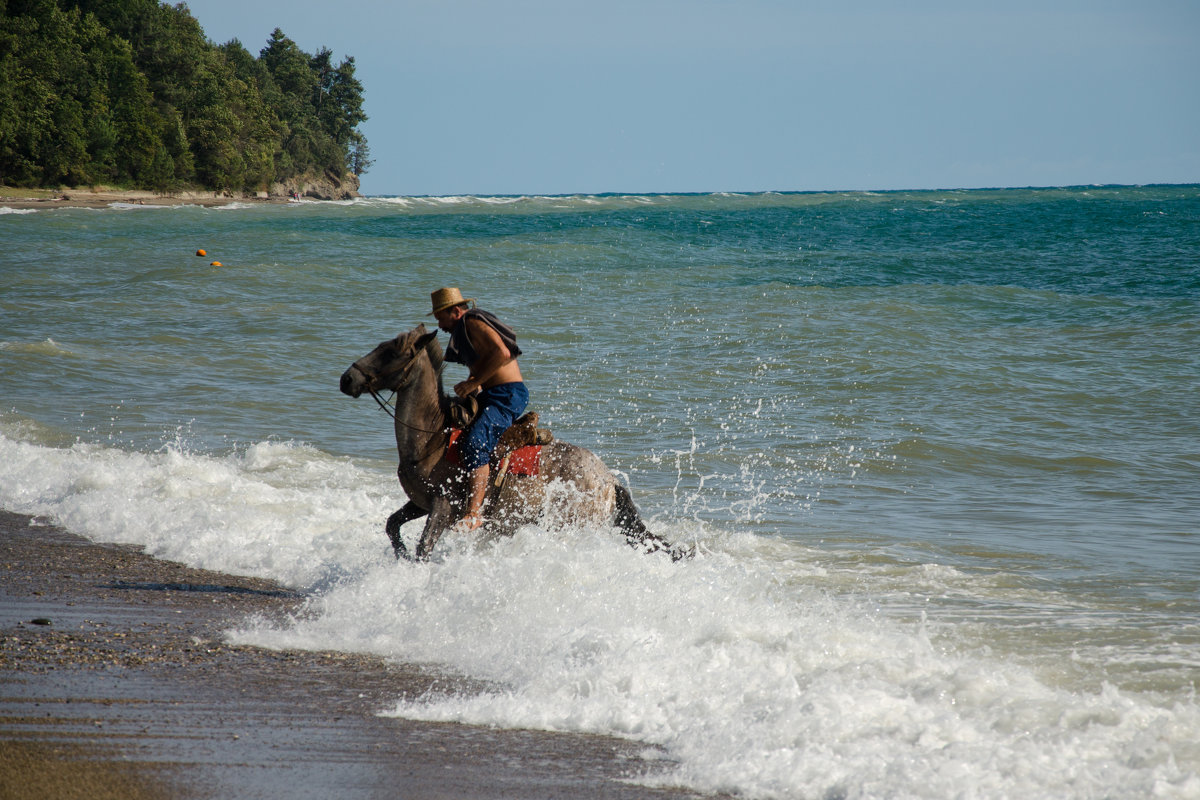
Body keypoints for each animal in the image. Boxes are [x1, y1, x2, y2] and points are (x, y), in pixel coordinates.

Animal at [343, 326, 691, 563]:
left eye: (391, 352)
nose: (347, 379)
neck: (432, 440)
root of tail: (608, 480)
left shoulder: (443, 507)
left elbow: (425, 546)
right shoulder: (419, 503)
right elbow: (392, 525)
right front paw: (400, 555)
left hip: (569, 524)